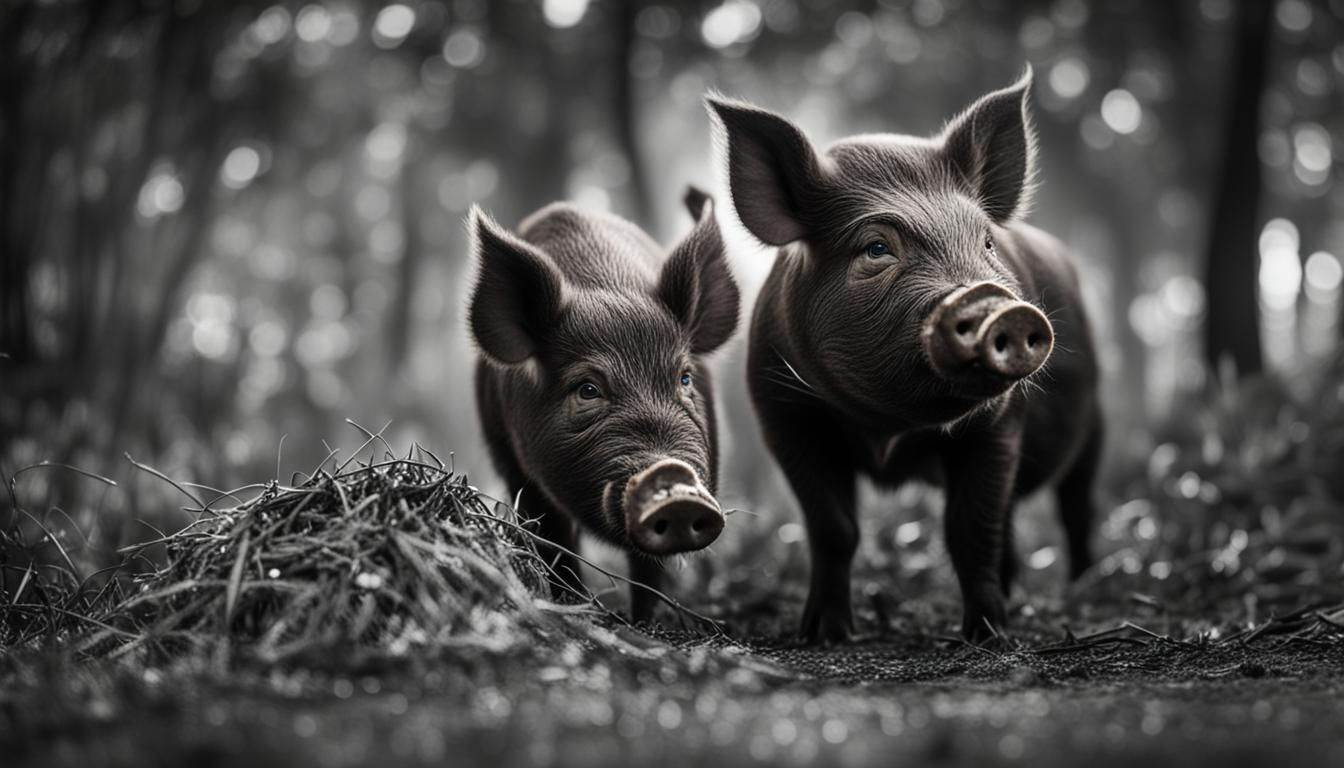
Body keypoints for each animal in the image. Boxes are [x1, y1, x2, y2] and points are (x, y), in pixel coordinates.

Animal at [468, 188, 740, 622]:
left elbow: (648, 567)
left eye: (684, 379)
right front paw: (576, 608)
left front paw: (643, 622)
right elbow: (554, 540)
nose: (668, 473)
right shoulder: (520, 469)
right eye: (588, 389)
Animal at [708, 68, 1102, 643]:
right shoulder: (783, 414)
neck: (889, 431)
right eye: (876, 248)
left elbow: (968, 528)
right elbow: (833, 527)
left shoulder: (1000, 421)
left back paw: (1084, 591)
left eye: (986, 243)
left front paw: (988, 635)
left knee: (1077, 504)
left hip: (1096, 419)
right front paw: (824, 634)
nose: (999, 306)